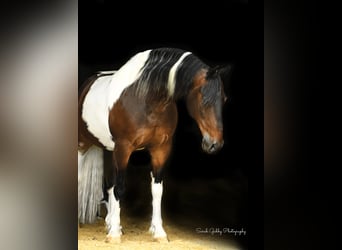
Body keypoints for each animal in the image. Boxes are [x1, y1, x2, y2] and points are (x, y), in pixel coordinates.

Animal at [78, 47, 232, 242]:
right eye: (204, 98)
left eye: (224, 99)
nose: (215, 144)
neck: (146, 100)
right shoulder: (124, 148)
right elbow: (120, 188)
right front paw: (114, 236)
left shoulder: (160, 149)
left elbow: (156, 190)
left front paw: (158, 232)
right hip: (83, 145)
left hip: (109, 150)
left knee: (110, 185)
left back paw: (112, 223)